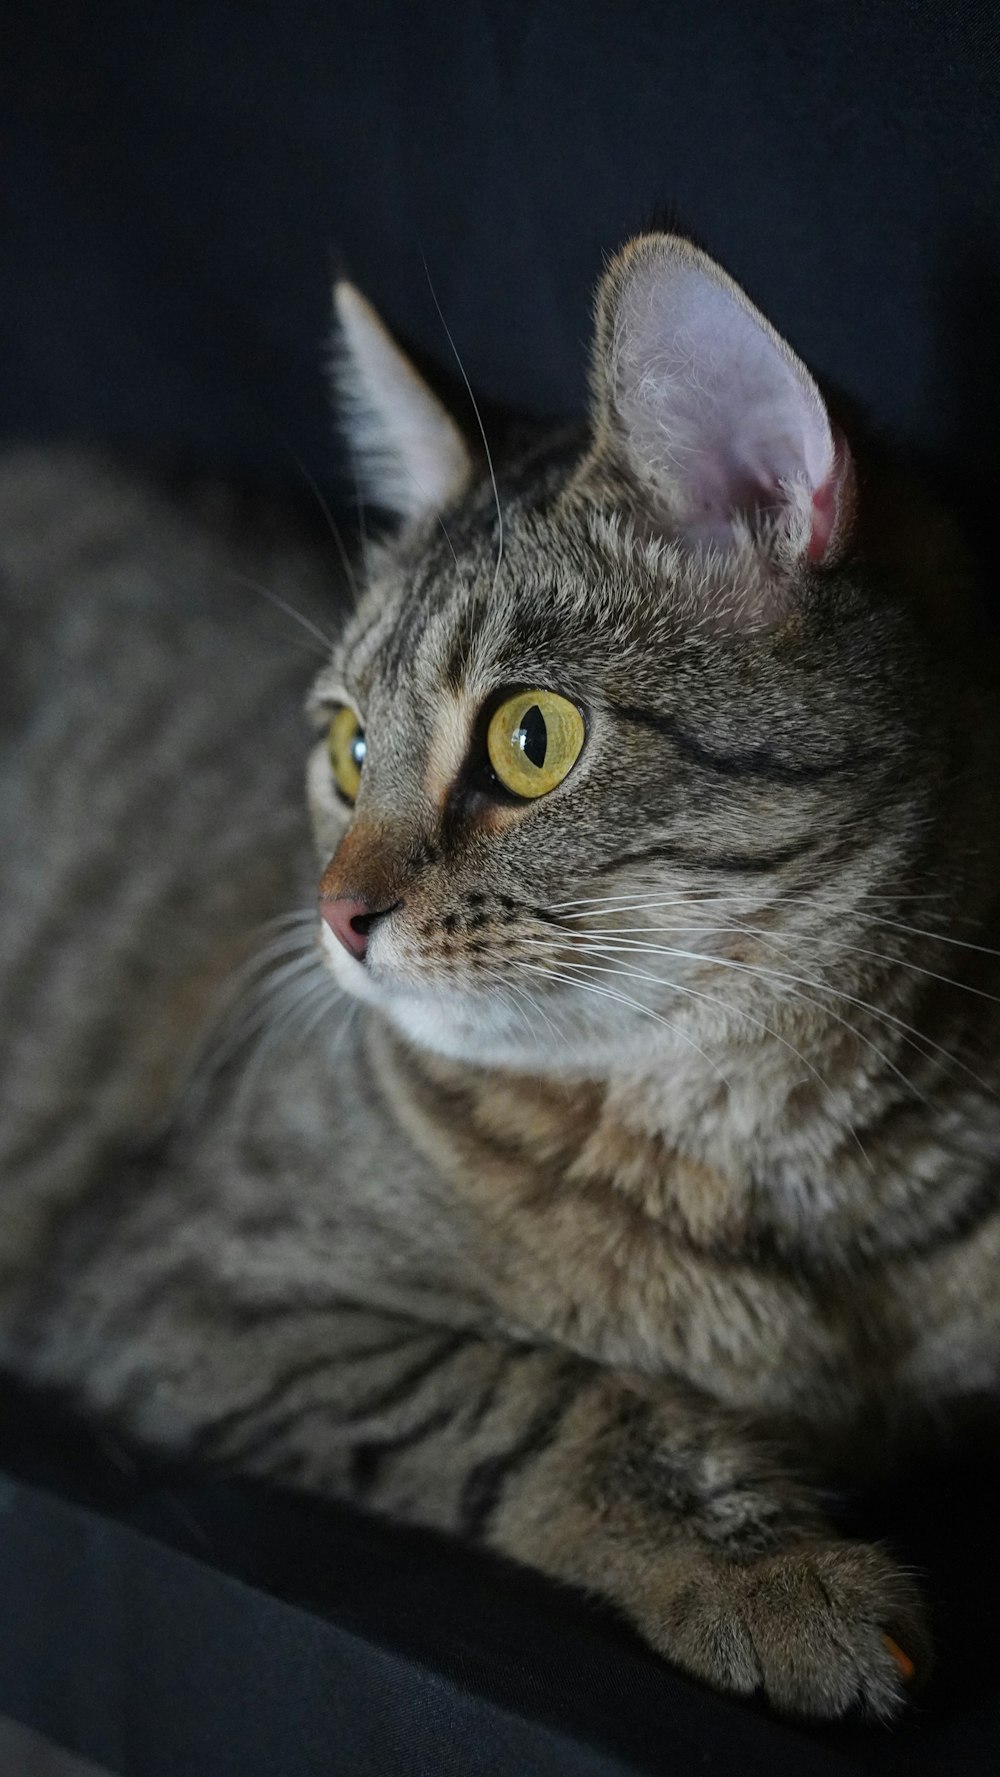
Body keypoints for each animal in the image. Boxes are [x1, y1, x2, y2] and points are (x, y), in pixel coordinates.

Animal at [1, 236, 1000, 1720]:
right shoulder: (183, 1281)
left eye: (533, 739)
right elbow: (549, 1399)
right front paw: (771, 1573)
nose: (335, 913)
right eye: (349, 746)